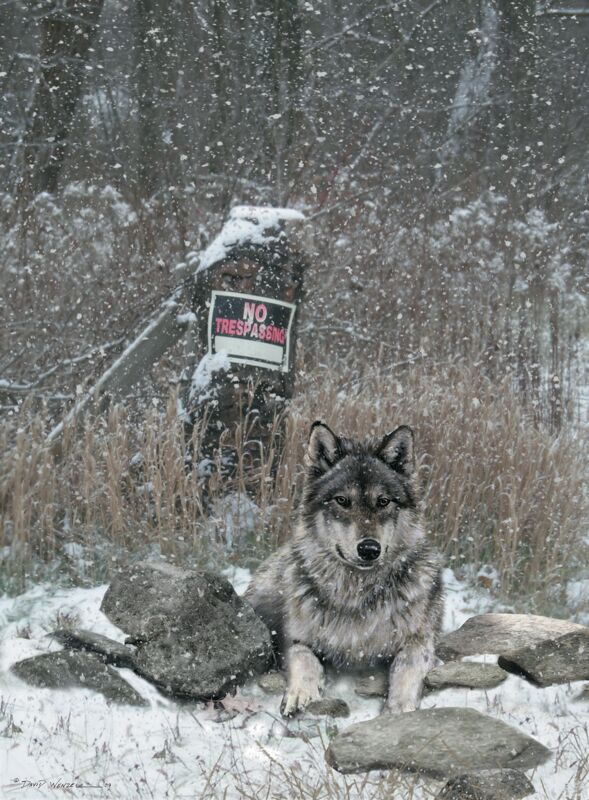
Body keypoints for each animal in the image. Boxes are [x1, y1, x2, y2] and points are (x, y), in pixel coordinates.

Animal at [245, 421, 444, 716]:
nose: (369, 549)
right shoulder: (293, 638)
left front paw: (398, 711)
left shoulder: (419, 641)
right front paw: (300, 693)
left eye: (383, 501)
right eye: (342, 501)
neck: (355, 595)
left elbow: (405, 670)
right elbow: (304, 658)